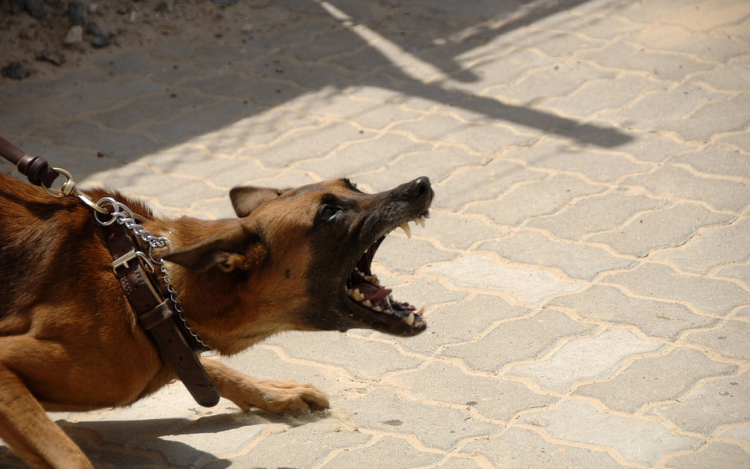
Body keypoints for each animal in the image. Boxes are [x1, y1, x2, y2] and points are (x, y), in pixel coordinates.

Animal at [0, 173, 434, 468]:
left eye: (353, 185)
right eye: (329, 212)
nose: (421, 185)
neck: (146, 283)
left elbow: (209, 368)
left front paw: (273, 392)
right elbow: (71, 456)